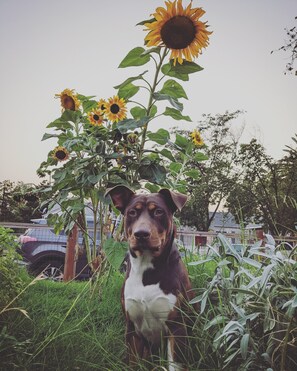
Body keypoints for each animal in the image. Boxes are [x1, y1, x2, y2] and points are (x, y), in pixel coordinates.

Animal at [105, 186, 193, 371]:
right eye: (132, 212)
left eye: (158, 211)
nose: (141, 234)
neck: (146, 272)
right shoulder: (132, 330)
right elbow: (133, 363)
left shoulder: (176, 328)